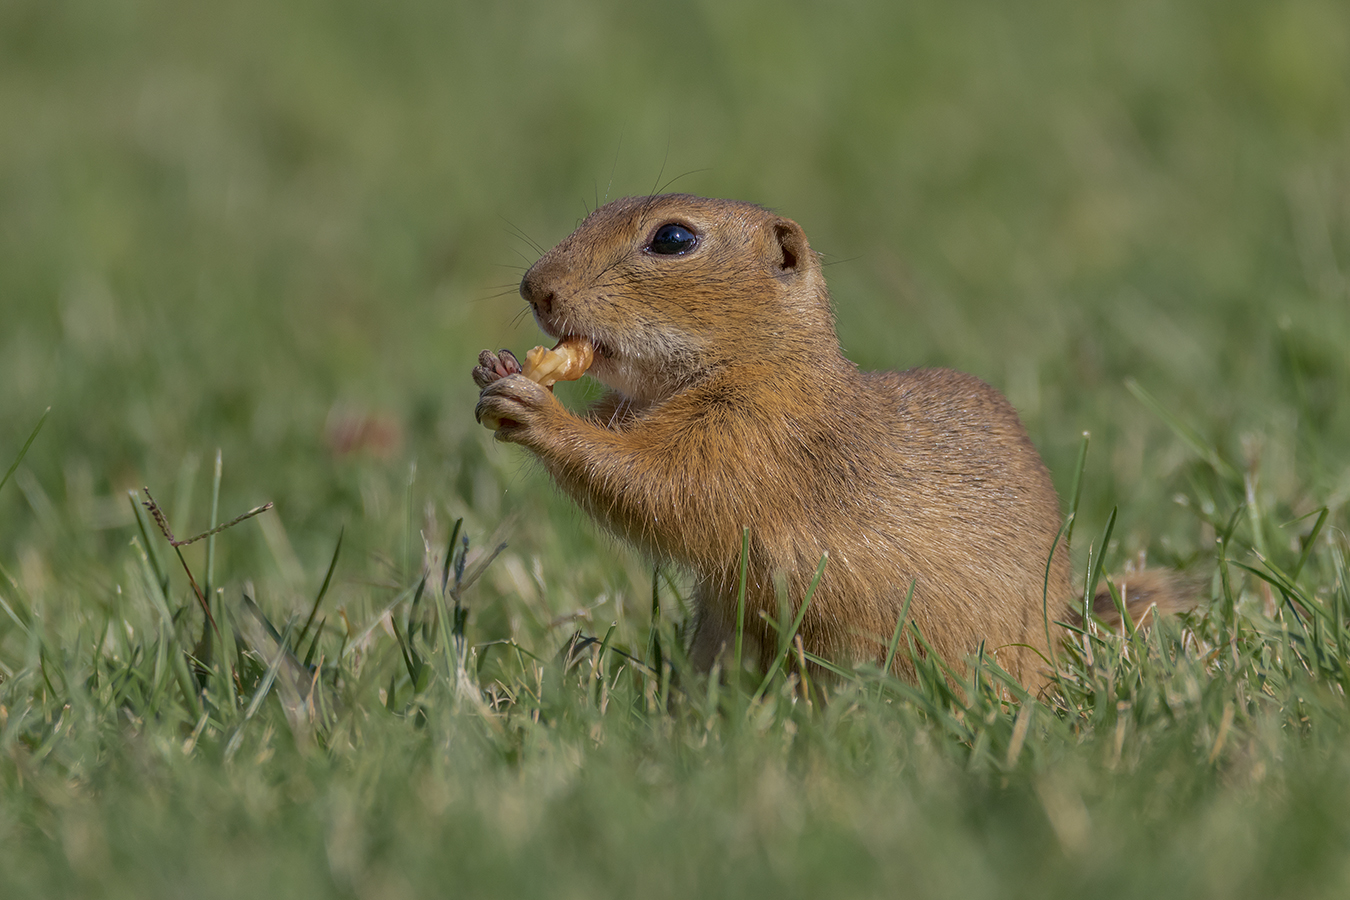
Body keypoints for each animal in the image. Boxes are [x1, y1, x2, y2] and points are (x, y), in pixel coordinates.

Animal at [469, 194, 1188, 685]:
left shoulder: (757, 437)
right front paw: (495, 366)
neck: (770, 362)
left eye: (672, 238)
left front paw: (535, 409)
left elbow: (660, 483)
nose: (535, 286)